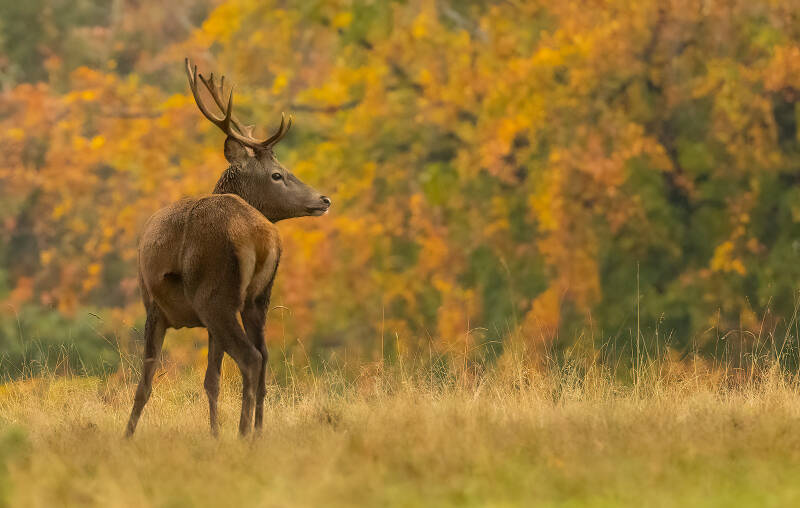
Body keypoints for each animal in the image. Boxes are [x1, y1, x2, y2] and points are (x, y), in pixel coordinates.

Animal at [125, 58, 331, 437]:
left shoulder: (154, 306)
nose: (324, 199)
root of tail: (260, 237)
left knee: (251, 358)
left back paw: (244, 433)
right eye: (277, 174)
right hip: (256, 299)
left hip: (215, 294)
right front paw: (214, 434)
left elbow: (145, 383)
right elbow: (212, 380)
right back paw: (257, 432)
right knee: (264, 358)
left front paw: (127, 436)